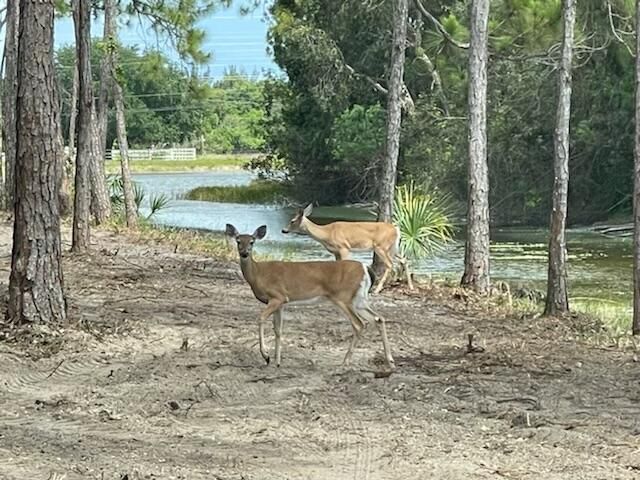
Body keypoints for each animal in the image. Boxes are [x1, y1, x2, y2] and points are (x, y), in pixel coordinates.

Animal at [225, 223, 396, 370]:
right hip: (359, 299)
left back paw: (345, 361)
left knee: (359, 324)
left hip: (343, 297)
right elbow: (278, 330)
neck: (258, 274)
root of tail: (366, 268)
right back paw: (390, 361)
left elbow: (260, 318)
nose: (244, 253)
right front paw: (277, 361)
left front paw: (266, 356)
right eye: (238, 241)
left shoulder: (277, 296)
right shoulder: (281, 302)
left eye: (252, 242)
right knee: (378, 318)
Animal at [282, 202, 412, 292]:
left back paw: (377, 289)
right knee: (404, 259)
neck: (327, 233)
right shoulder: (336, 251)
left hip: (381, 246)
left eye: (292, 221)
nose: (283, 230)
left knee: (390, 264)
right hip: (393, 247)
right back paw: (410, 287)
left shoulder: (343, 247)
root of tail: (396, 229)